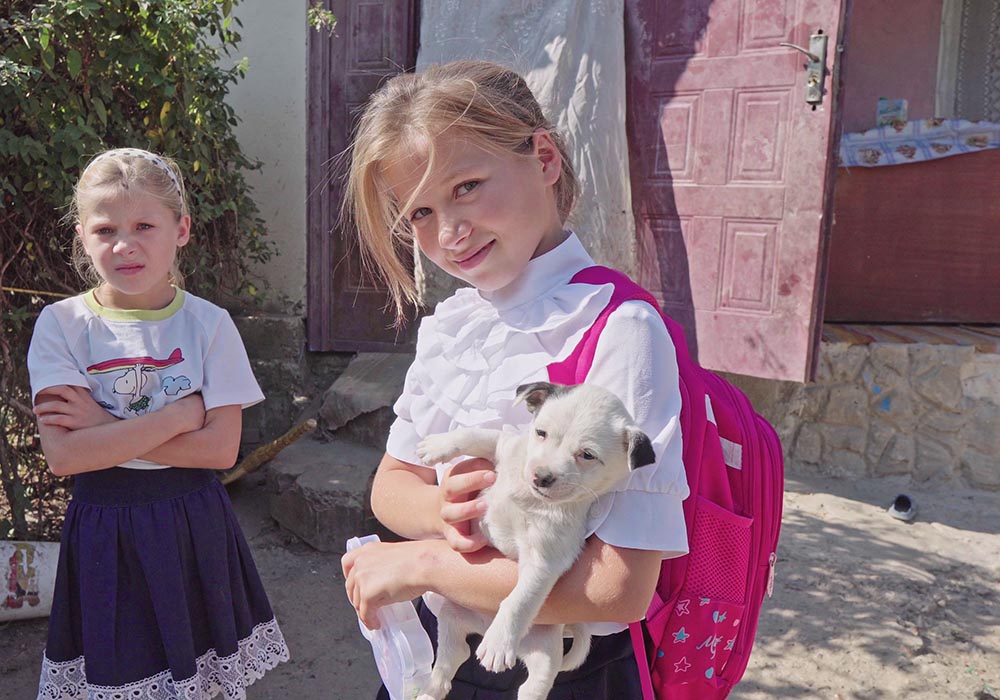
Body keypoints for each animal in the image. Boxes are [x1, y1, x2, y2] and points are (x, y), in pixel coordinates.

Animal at [414, 382, 656, 700]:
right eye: (541, 433)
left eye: (587, 455)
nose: (541, 476)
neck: (529, 498)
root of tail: (481, 625)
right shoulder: (503, 447)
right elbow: (475, 435)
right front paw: (437, 445)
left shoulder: (543, 562)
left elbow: (519, 599)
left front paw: (498, 643)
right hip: (451, 617)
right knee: (451, 658)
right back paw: (430, 690)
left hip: (546, 654)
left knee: (532, 685)